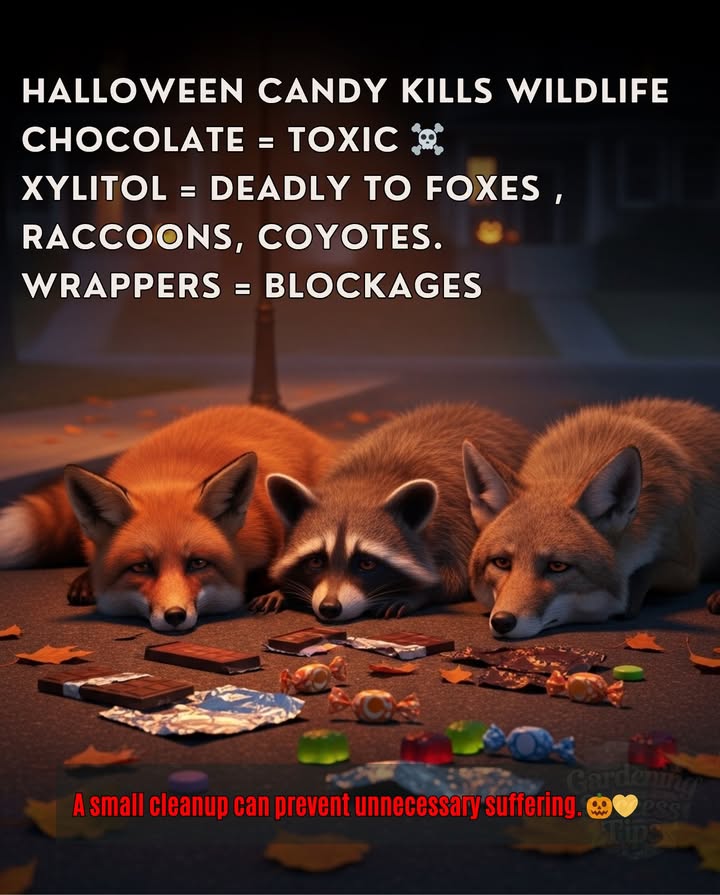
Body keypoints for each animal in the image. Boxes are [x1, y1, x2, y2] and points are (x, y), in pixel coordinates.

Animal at [251, 403, 531, 622]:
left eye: (366, 563)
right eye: (316, 561)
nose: (330, 608)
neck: (364, 482)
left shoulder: (453, 528)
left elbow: (455, 579)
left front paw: (414, 594)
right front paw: (283, 589)